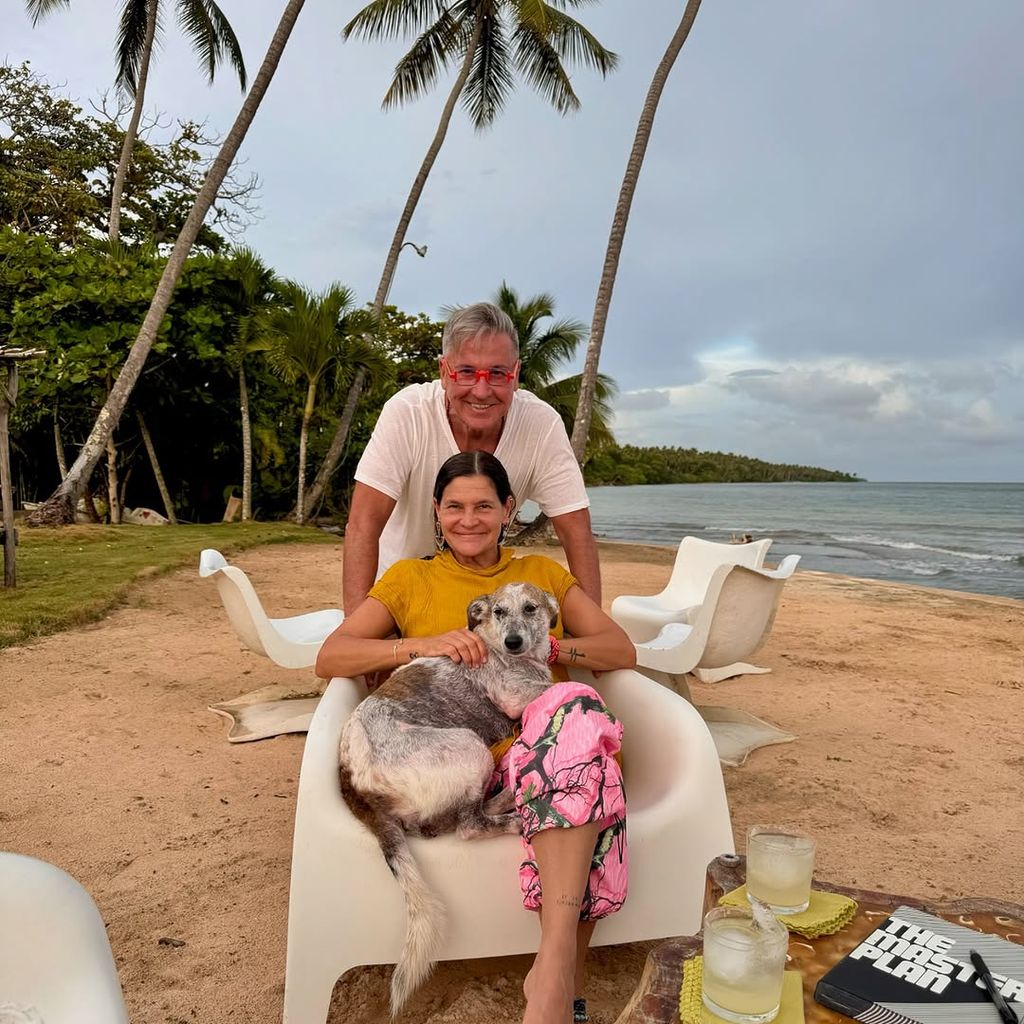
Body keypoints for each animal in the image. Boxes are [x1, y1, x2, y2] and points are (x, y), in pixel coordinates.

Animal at [339, 581, 557, 1019]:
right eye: (498, 612)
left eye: (531, 608)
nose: (512, 642)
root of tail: (353, 777)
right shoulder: (514, 694)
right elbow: (554, 687)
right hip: (470, 747)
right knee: (469, 825)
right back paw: (513, 809)